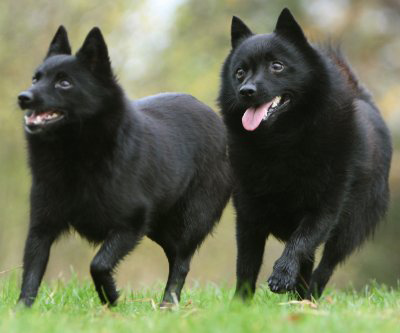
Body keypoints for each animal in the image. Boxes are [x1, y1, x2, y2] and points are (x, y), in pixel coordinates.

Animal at [217, 7, 392, 300]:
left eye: (277, 66)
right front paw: (240, 303)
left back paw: (309, 298)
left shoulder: (323, 208)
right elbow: (247, 265)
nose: (246, 91)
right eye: (240, 72)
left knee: (325, 265)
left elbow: (300, 243)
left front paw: (281, 275)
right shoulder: (248, 215)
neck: (282, 142)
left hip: (350, 226)